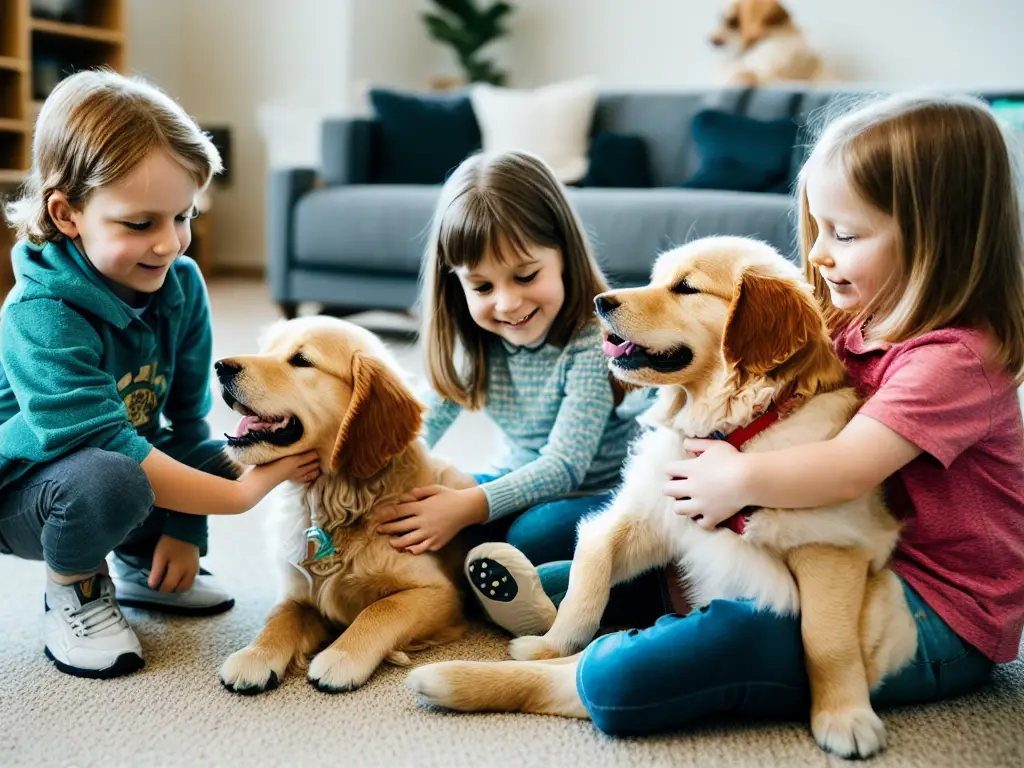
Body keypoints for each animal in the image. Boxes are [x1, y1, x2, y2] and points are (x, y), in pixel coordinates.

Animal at [215, 319, 475, 696]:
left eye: (302, 360)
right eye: (267, 350)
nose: (220, 367)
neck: (337, 503)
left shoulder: (440, 593)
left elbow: (382, 608)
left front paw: (342, 656)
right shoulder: (299, 588)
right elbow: (280, 616)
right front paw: (256, 655)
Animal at [403, 237, 917, 761]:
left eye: (686, 287)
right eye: (655, 278)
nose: (599, 303)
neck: (731, 433)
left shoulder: (832, 542)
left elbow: (827, 637)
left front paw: (844, 716)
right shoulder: (655, 520)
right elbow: (589, 575)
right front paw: (553, 640)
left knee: (595, 675)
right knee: (569, 668)